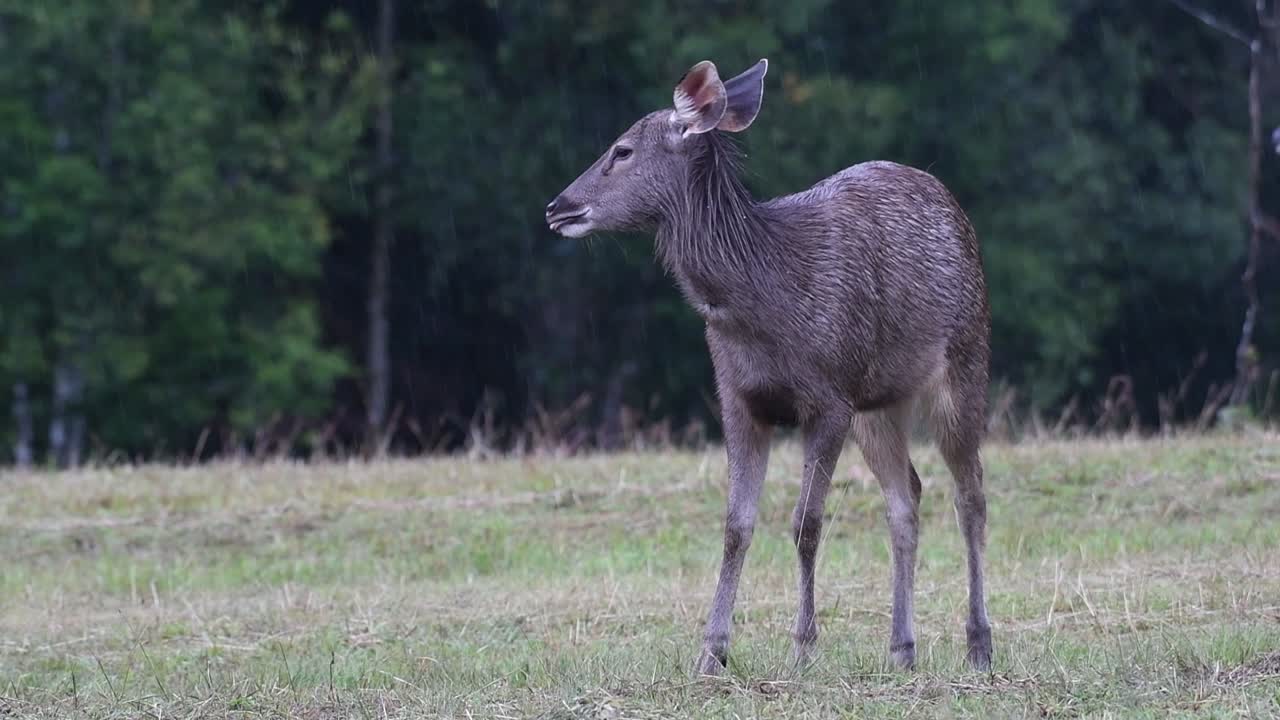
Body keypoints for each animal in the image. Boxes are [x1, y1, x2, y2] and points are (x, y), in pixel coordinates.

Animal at [546, 58, 992, 676]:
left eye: (622, 149)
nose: (557, 207)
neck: (759, 303)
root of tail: (952, 204)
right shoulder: (738, 399)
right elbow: (737, 525)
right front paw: (711, 652)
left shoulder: (828, 398)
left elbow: (807, 523)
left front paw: (801, 648)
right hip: (879, 401)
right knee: (908, 496)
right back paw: (902, 650)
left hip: (966, 357)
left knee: (970, 494)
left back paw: (979, 644)